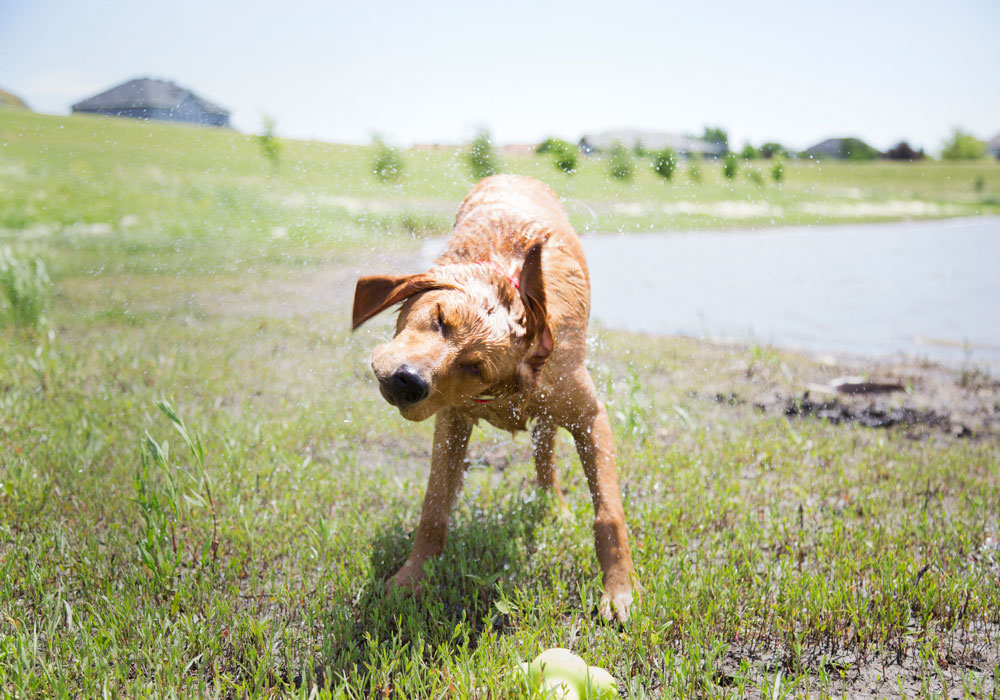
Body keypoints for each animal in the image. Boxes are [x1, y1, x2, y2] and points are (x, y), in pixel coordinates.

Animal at [352, 172, 636, 620]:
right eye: (439, 318)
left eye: (475, 367)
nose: (408, 381)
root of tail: (515, 174)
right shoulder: (451, 422)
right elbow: (435, 506)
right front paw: (412, 576)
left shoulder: (590, 416)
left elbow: (609, 513)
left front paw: (619, 590)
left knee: (545, 452)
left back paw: (554, 507)